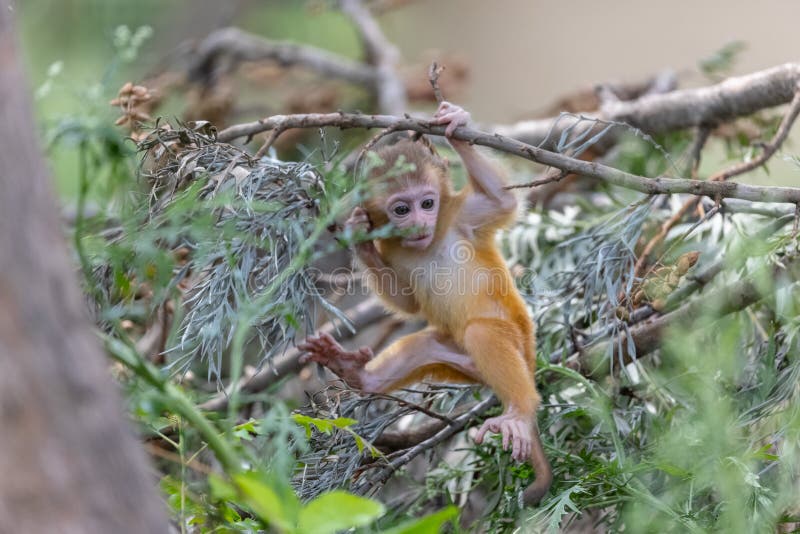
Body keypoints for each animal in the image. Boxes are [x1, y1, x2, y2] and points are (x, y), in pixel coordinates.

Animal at [298, 101, 552, 505]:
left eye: (428, 203)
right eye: (402, 209)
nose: (420, 222)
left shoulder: (461, 216)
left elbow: (502, 201)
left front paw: (456, 124)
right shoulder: (392, 246)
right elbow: (408, 304)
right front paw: (359, 237)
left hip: (517, 342)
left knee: (483, 333)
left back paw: (519, 414)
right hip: (457, 362)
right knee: (424, 346)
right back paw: (356, 373)